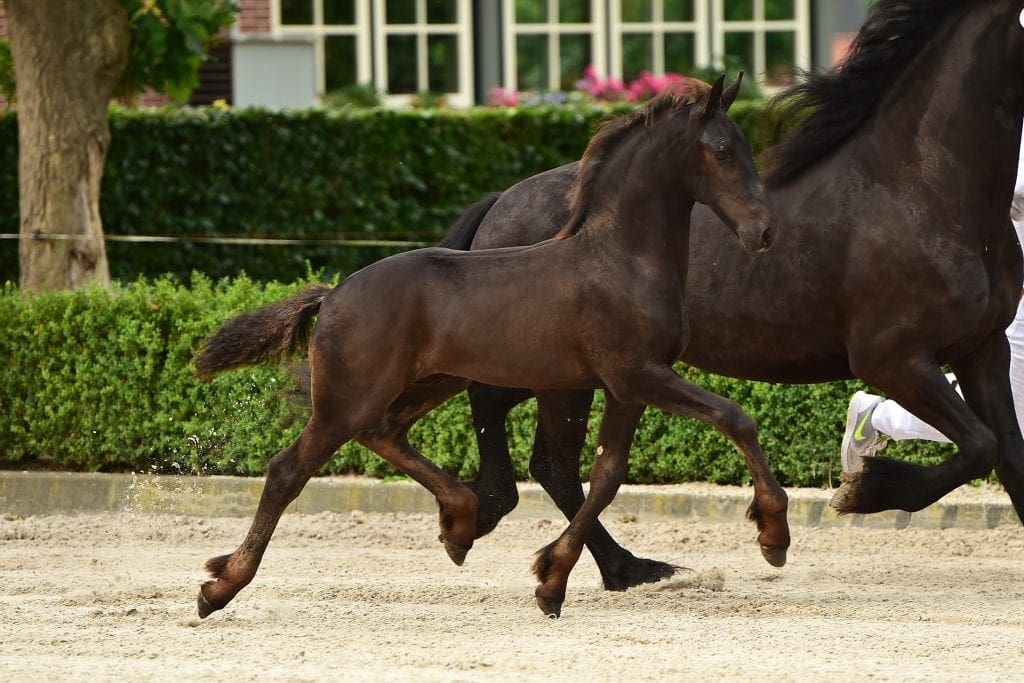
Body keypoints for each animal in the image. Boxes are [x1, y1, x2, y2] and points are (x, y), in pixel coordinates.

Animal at [193, 75, 784, 619]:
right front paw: (774, 533)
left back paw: (459, 520)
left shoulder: (626, 387)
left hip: (430, 382)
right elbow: (735, 417)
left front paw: (552, 580)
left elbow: (607, 475)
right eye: (722, 151)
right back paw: (220, 587)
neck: (620, 260)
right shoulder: (639, 374)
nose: (765, 232)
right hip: (350, 398)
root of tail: (333, 293)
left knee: (385, 432)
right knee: (287, 471)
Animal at [429, 0, 1024, 593]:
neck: (919, 191)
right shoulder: (895, 360)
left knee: (528, 439)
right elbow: (980, 447)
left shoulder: (984, 350)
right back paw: (577, 550)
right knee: (544, 455)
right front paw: (864, 491)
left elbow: (1008, 454)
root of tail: (500, 201)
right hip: (559, 372)